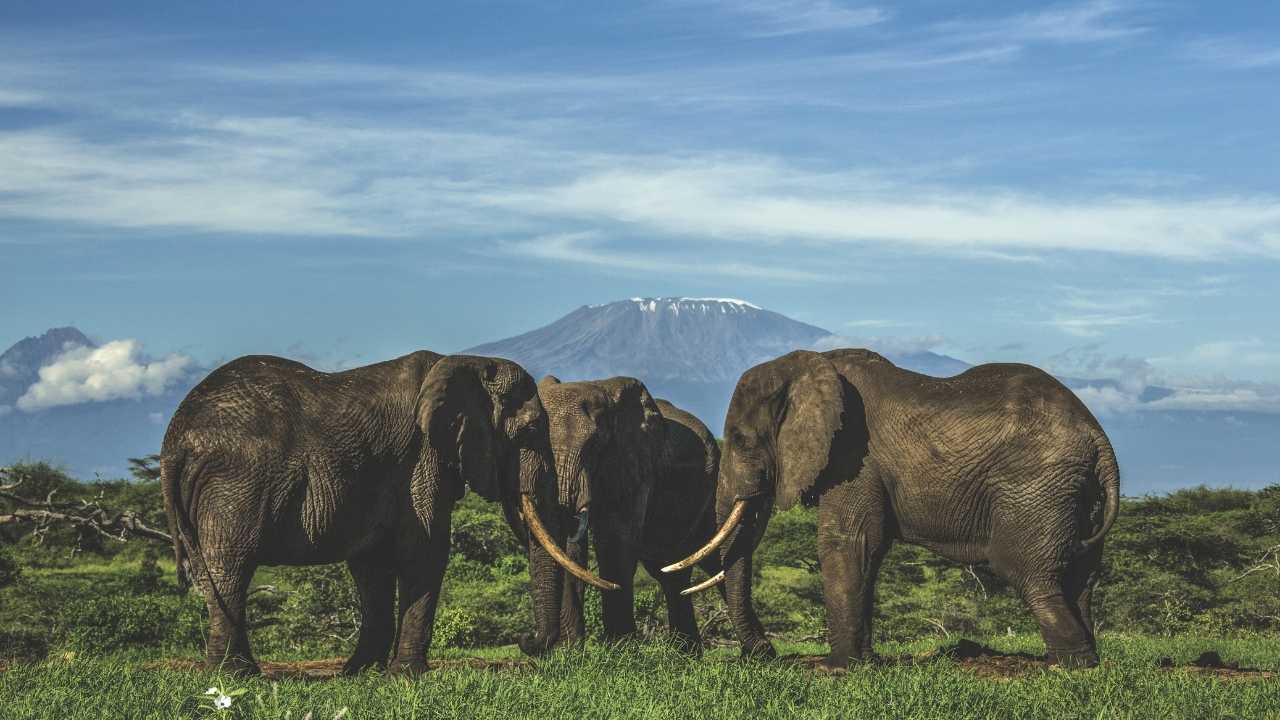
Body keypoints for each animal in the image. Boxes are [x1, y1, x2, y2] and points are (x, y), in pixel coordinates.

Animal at [160, 352, 612, 676]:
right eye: (532, 430)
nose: (528, 642)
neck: (467, 362)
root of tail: (174, 441)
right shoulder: (421, 456)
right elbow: (427, 551)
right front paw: (407, 675)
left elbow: (371, 564)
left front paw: (360, 673)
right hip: (235, 483)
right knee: (232, 566)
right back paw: (235, 676)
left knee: (211, 573)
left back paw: (233, 674)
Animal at [667, 349, 1120, 670]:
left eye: (740, 440)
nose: (761, 655)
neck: (808, 365)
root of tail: (1099, 439)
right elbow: (870, 550)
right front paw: (865, 663)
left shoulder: (853, 456)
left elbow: (846, 543)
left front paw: (838, 669)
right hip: (1079, 496)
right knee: (1080, 577)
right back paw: (1079, 660)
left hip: (1035, 486)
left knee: (1025, 571)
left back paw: (1068, 666)